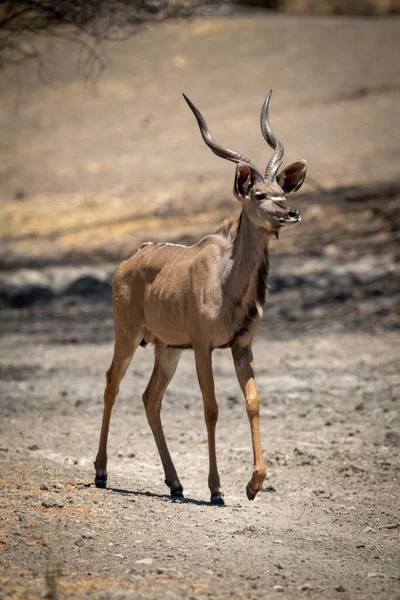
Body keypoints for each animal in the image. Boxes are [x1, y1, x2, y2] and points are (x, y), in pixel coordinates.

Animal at [94, 90, 306, 502]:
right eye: (259, 194)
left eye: (282, 191)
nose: (292, 213)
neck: (227, 284)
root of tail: (130, 261)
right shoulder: (204, 346)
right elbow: (211, 408)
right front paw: (216, 488)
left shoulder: (241, 346)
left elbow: (253, 402)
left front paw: (254, 484)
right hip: (128, 336)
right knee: (113, 383)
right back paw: (101, 472)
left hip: (166, 349)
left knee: (150, 398)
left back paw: (175, 484)